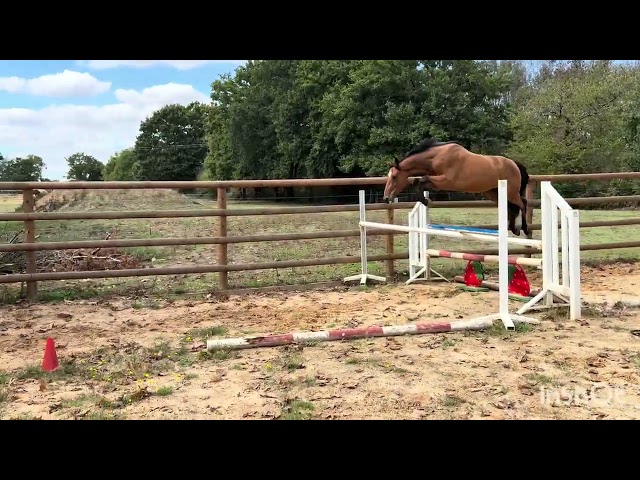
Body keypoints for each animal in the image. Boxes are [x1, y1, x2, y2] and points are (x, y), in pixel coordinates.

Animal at [382, 138, 531, 237]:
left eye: (394, 177)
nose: (386, 197)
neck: (436, 157)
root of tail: (515, 164)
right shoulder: (437, 182)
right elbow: (418, 182)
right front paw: (425, 200)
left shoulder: (446, 181)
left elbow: (422, 181)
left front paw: (425, 201)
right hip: (494, 193)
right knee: (511, 207)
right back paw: (513, 228)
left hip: (511, 192)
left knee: (522, 203)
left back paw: (524, 228)